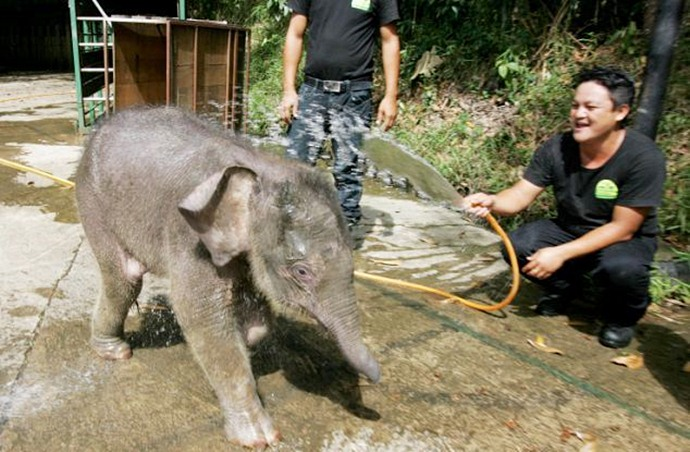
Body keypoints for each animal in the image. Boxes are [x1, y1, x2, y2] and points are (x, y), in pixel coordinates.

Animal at [74, 107, 378, 448]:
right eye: (302, 272)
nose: (375, 380)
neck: (260, 168)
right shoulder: (190, 237)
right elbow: (200, 314)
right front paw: (259, 438)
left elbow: (256, 310)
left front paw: (246, 336)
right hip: (92, 201)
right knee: (125, 279)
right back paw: (115, 352)